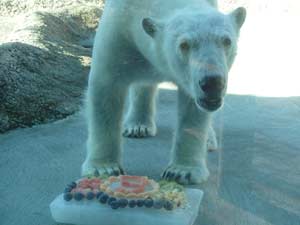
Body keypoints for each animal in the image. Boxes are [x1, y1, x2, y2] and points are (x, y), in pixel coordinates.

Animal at [82, 0, 246, 184]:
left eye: (227, 41)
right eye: (184, 44)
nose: (212, 83)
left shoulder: (191, 80)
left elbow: (192, 108)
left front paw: (182, 171)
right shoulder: (118, 31)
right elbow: (106, 90)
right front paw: (104, 168)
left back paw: (208, 140)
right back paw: (137, 126)